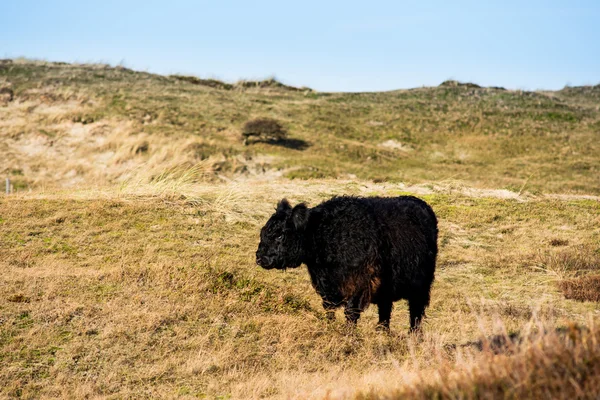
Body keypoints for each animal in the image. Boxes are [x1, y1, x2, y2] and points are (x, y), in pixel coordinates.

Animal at [255, 196, 438, 332]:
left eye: (280, 235)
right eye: (263, 231)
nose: (260, 257)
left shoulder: (360, 283)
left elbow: (350, 312)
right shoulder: (326, 287)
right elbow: (329, 309)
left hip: (421, 286)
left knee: (415, 313)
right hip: (387, 287)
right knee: (385, 311)